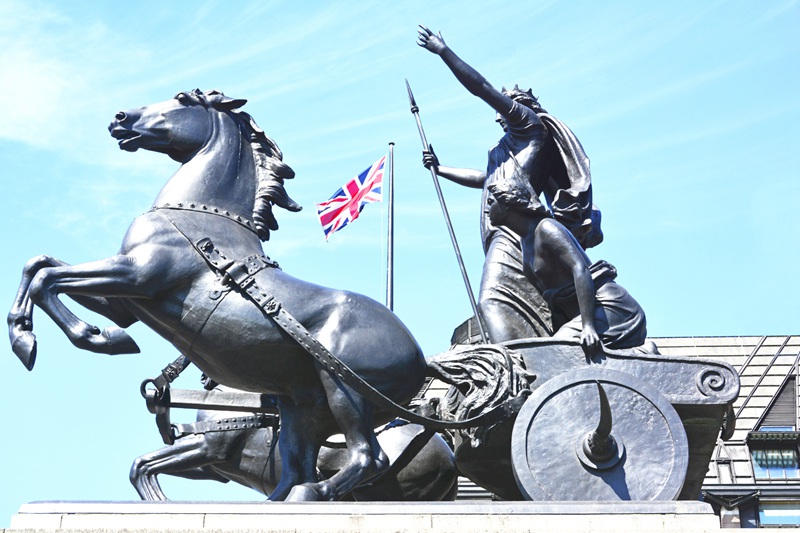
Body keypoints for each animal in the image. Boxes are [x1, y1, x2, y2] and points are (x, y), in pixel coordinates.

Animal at [7, 89, 432, 500]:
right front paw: (51, 332)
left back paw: (313, 492)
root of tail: (418, 357)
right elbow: (38, 265)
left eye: (182, 99)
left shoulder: (138, 274)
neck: (199, 217)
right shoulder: (126, 301)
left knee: (366, 457)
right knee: (297, 467)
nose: (120, 118)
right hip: (303, 407)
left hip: (344, 390)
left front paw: (80, 339)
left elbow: (48, 278)